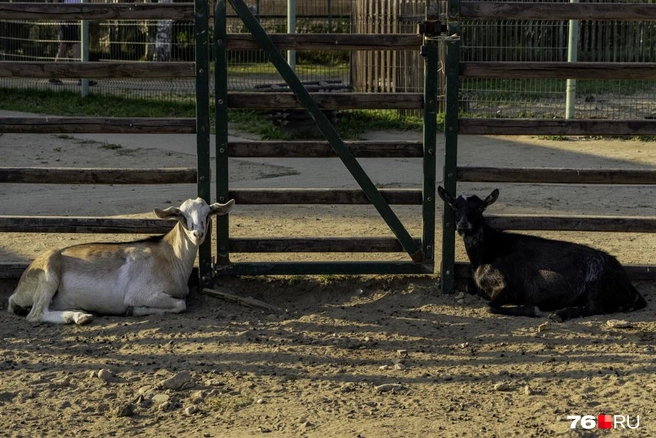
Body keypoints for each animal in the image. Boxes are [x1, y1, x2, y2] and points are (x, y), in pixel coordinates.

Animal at [7, 197, 234, 325]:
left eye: (208, 214)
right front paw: (134, 310)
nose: (198, 234)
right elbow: (180, 304)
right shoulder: (141, 293)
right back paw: (80, 317)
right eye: (182, 215)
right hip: (49, 273)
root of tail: (17, 291)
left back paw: (81, 315)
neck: (170, 257)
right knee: (35, 315)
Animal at [438, 186, 647, 322]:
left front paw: (533, 309)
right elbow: (469, 287)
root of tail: (628, 285)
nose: (463, 225)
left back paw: (560, 314)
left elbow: (491, 306)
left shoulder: (511, 285)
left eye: (479, 207)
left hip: (597, 283)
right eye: (455, 206)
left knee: (596, 308)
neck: (488, 251)